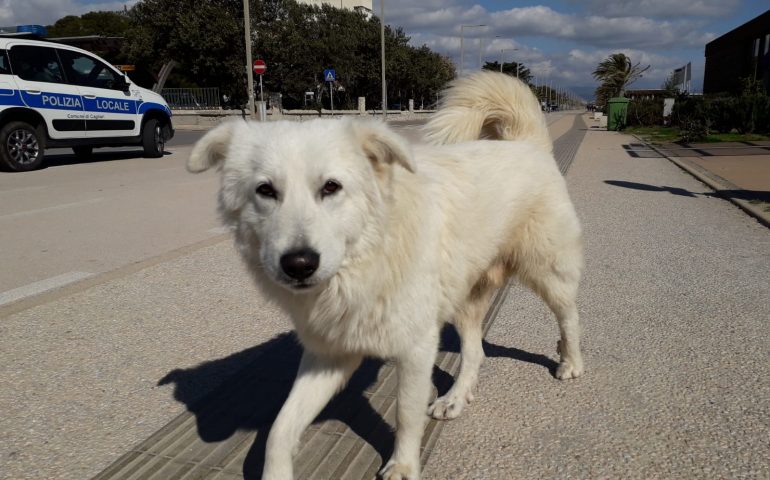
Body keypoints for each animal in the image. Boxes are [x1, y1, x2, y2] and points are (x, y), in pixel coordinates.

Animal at [186, 72, 584, 480]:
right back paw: (455, 398)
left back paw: (570, 362)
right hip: (463, 300)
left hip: (548, 272)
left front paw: (403, 465)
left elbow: (406, 415)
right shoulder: (330, 354)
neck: (365, 261)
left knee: (569, 317)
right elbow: (280, 428)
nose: (298, 264)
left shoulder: (416, 349)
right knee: (476, 352)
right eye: (265, 190)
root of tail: (526, 143)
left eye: (331, 187)